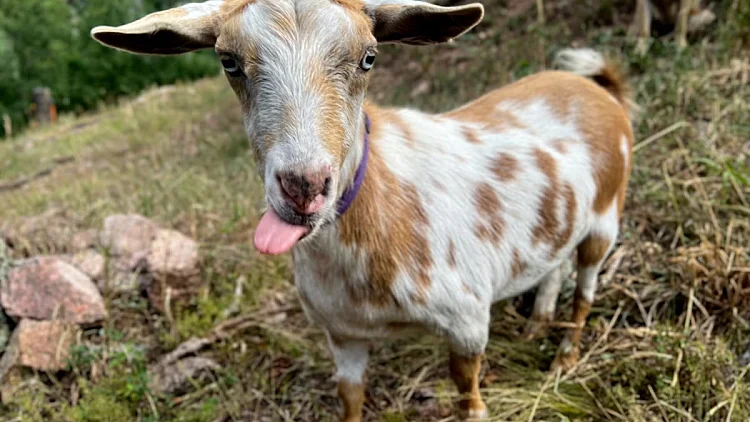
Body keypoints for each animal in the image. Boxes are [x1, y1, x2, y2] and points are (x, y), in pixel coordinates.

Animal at [91, 1, 634, 420]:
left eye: (368, 57)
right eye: (228, 62)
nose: (304, 186)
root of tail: (597, 86)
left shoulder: (466, 316)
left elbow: (467, 391)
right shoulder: (342, 333)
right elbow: (350, 397)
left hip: (606, 217)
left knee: (586, 289)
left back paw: (564, 359)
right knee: (554, 265)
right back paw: (538, 321)